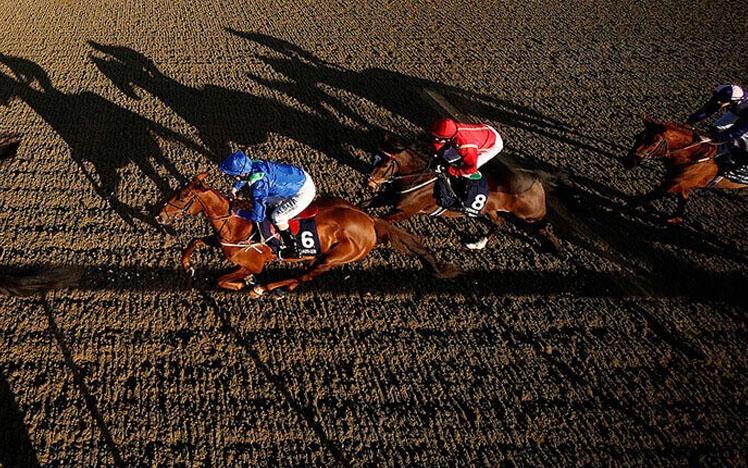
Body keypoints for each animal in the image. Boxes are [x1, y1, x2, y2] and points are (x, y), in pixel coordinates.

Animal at [156, 172, 458, 296]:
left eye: (182, 197)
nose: (159, 215)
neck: (238, 223)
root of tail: (369, 219)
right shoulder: (222, 241)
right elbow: (194, 241)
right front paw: (187, 264)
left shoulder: (252, 262)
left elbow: (222, 279)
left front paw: (244, 284)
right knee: (303, 274)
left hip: (334, 257)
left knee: (306, 275)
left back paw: (265, 288)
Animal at [362, 136, 560, 252]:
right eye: (374, 158)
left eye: (386, 164)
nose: (368, 182)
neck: (417, 178)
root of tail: (535, 177)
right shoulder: (390, 198)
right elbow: (363, 206)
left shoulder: (405, 211)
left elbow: (379, 220)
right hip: (490, 210)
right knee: (499, 223)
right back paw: (477, 244)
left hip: (530, 214)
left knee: (545, 226)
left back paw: (556, 249)